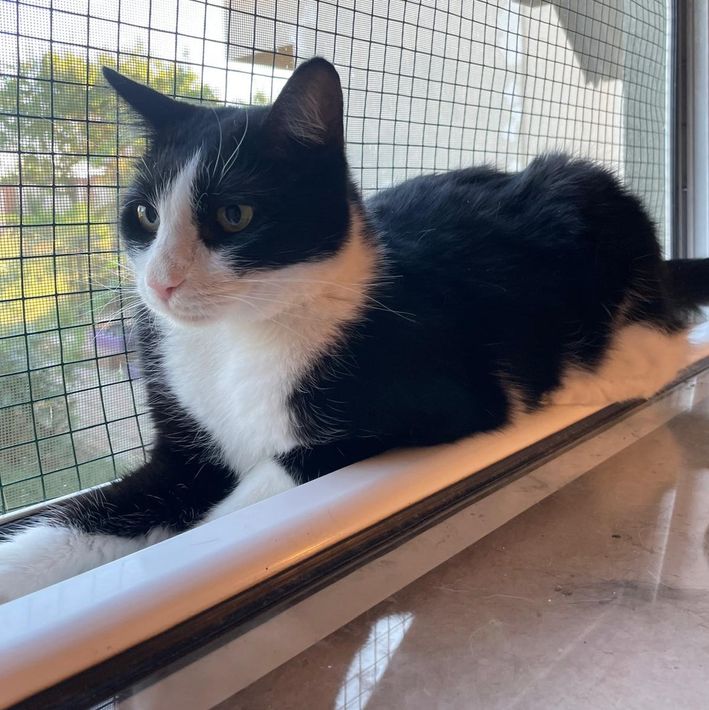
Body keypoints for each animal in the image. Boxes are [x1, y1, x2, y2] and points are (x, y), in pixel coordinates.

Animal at [1, 57, 708, 603]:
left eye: (234, 215)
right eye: (144, 214)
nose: (161, 282)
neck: (234, 339)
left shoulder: (446, 400)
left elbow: (250, 495)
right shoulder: (185, 450)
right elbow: (92, 516)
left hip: (588, 209)